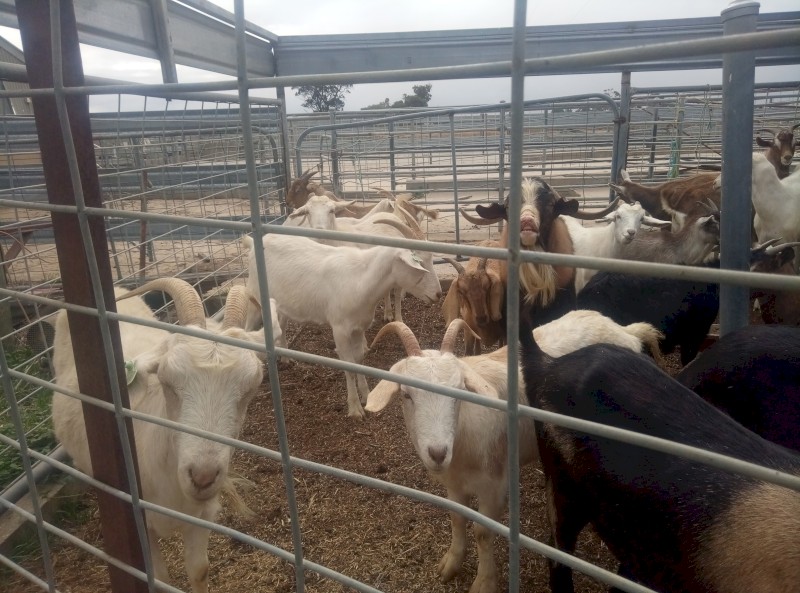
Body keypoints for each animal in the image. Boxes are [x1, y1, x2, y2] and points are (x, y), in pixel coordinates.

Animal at [52, 281, 266, 593]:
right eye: (166, 381)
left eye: (251, 387)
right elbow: (160, 578)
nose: (202, 477)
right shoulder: (140, 522)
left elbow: (199, 570)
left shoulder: (201, 517)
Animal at [242, 228, 441, 419]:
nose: (438, 294)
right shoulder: (340, 330)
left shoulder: (359, 327)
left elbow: (359, 360)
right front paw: (354, 409)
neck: (360, 279)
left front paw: (366, 395)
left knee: (281, 325)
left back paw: (285, 357)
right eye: (421, 264)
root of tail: (253, 242)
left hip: (282, 303)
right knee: (247, 328)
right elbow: (348, 365)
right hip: (255, 298)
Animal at [366, 312, 662, 593]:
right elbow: (457, 518)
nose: (438, 452)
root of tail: (625, 331)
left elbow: (483, 532)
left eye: (460, 389)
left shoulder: (494, 485)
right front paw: (451, 564)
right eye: (406, 395)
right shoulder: (455, 483)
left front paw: (484, 583)